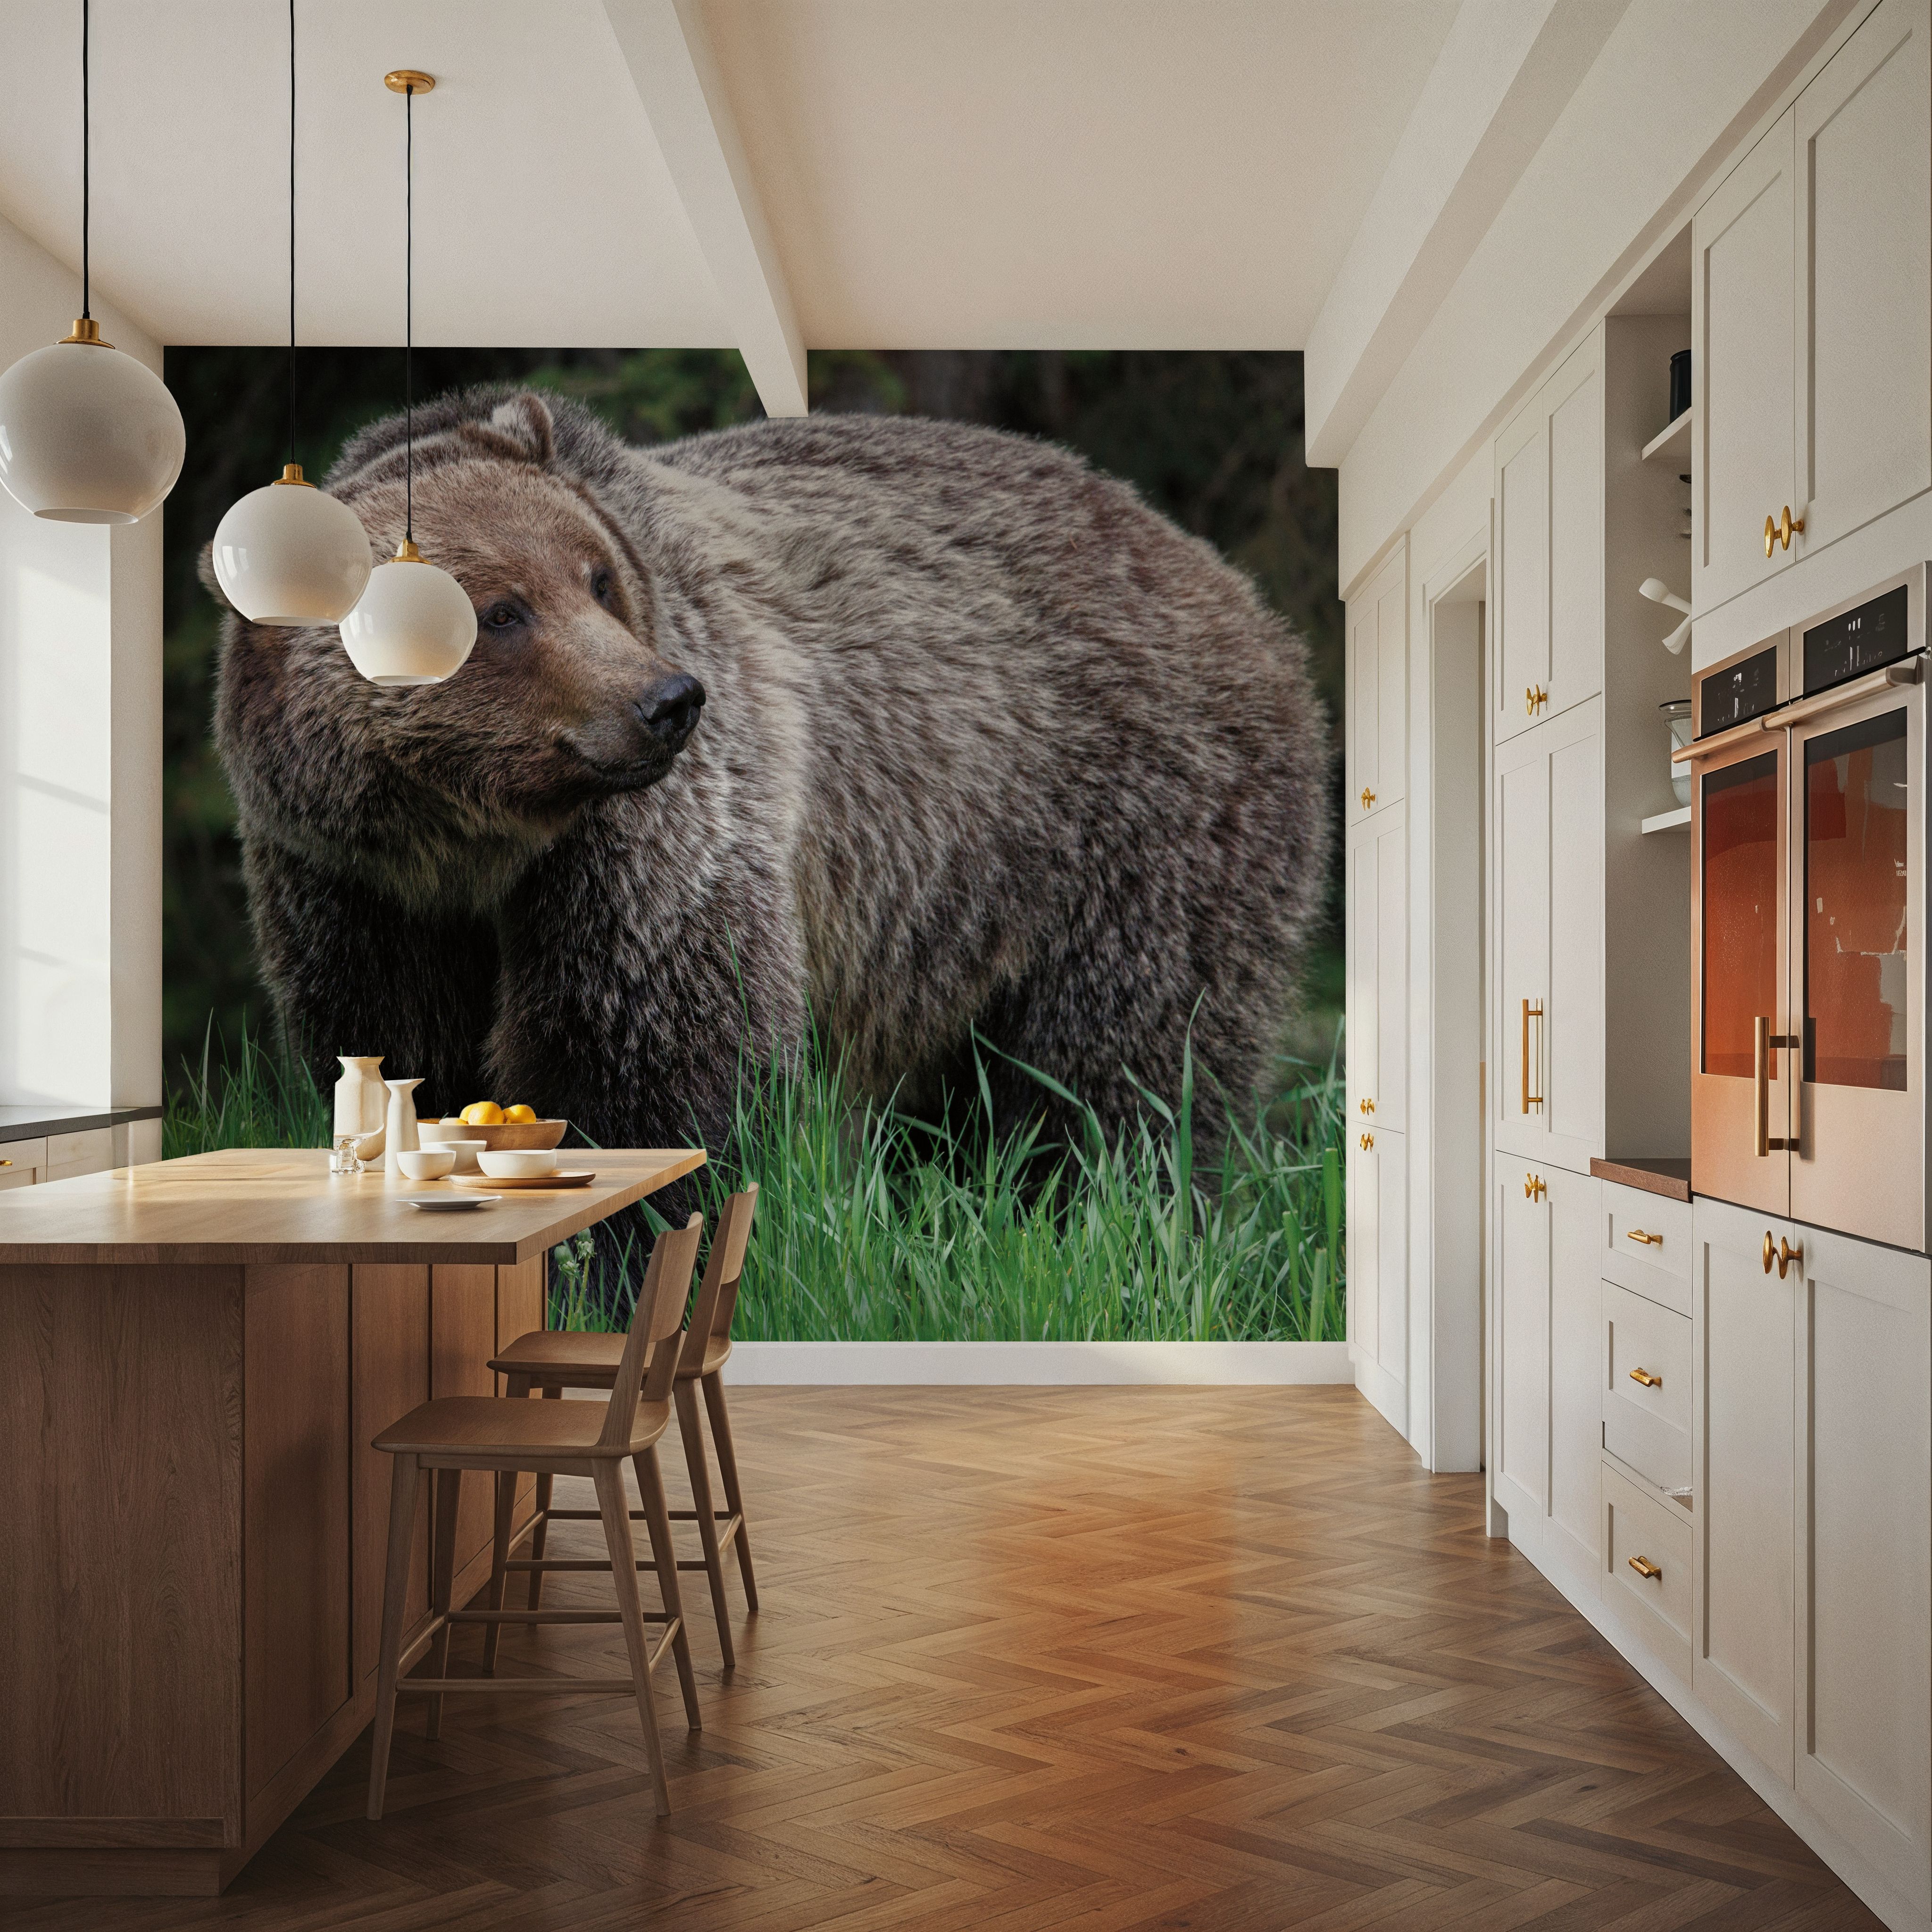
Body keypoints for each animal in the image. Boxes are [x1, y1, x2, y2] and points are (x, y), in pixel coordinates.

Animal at [211, 387, 1332, 1171]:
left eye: (596, 578)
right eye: (500, 611)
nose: (665, 699)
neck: (470, 842)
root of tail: (1221, 575)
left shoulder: (648, 844)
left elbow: (647, 1047)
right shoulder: (354, 885)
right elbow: (398, 1041)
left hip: (1124, 815)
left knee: (1121, 1058)